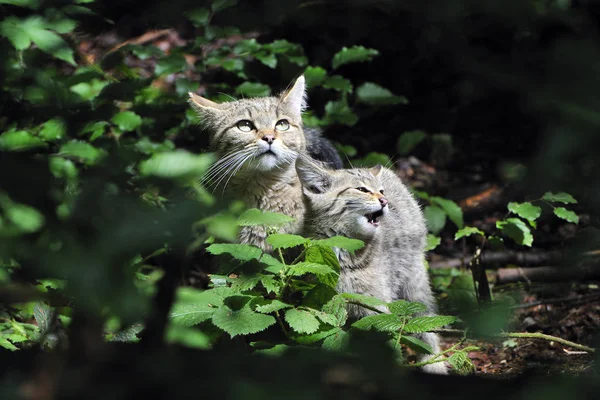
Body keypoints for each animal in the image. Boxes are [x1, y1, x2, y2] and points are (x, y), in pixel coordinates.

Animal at [298, 159, 448, 376]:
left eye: (381, 191)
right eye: (362, 189)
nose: (384, 200)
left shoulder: (375, 309)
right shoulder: (320, 304)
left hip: (414, 284)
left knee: (426, 325)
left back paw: (433, 362)